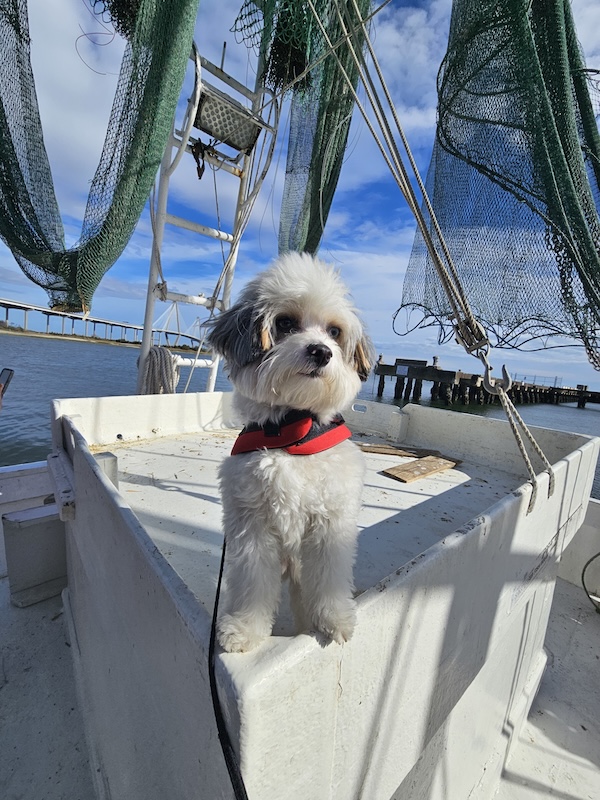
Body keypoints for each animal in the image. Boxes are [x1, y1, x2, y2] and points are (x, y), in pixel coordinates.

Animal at [208, 252, 374, 653]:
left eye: (334, 332)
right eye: (285, 323)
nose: (321, 351)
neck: (292, 434)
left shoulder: (331, 523)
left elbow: (329, 576)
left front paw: (335, 618)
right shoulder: (251, 526)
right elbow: (253, 582)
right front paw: (245, 629)